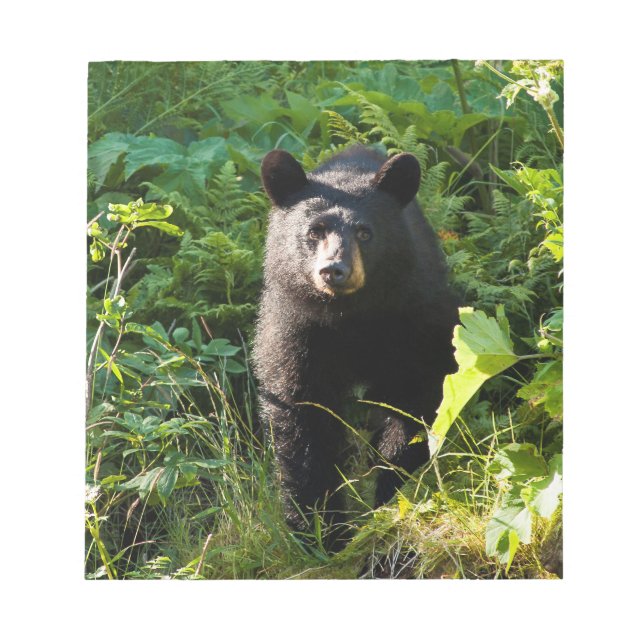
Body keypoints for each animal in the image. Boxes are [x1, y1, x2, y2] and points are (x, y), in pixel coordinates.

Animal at [252, 145, 459, 546]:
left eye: (365, 232)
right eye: (314, 231)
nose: (334, 270)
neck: (351, 316)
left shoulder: (416, 318)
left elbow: (416, 398)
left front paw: (389, 491)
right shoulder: (295, 331)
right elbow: (301, 416)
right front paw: (320, 529)